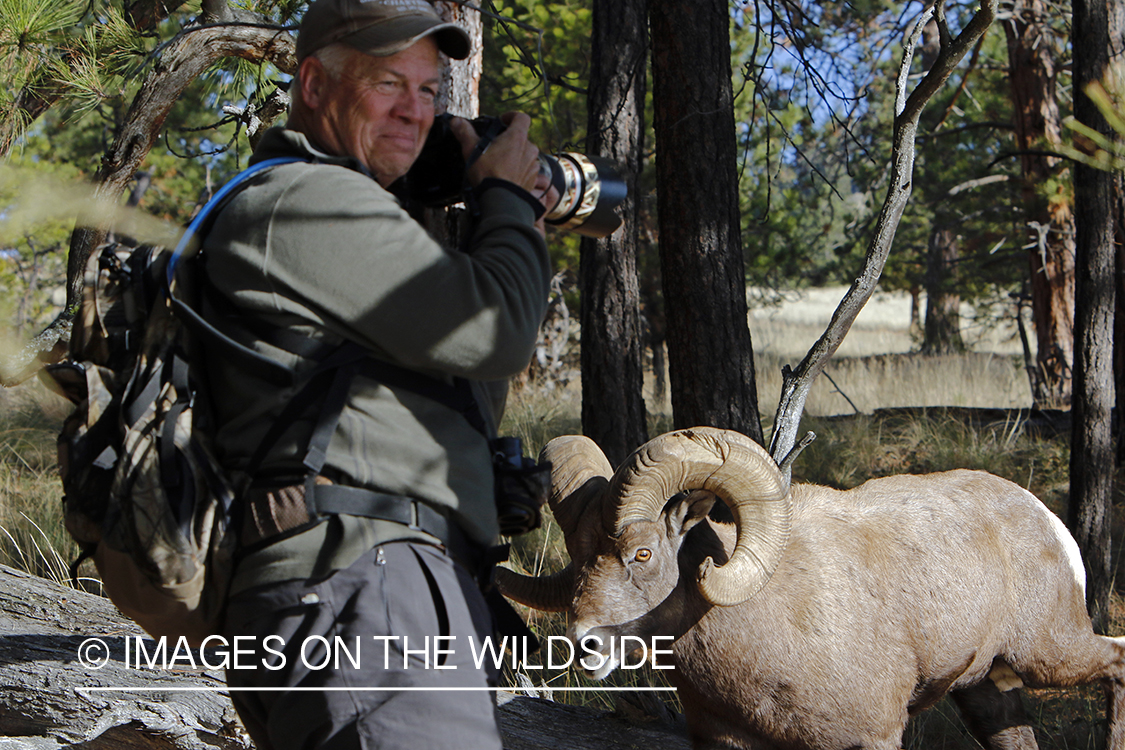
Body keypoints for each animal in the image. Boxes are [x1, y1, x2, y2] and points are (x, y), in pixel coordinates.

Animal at [496, 426, 1125, 750]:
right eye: (578, 559)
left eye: (643, 554)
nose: (585, 644)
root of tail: (1043, 516)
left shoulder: (875, 738)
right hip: (987, 689)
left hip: (1050, 653)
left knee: (1115, 661)